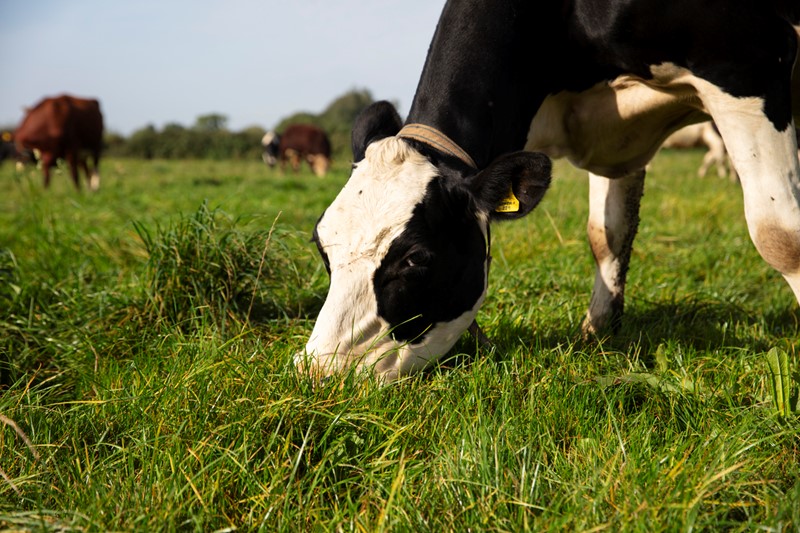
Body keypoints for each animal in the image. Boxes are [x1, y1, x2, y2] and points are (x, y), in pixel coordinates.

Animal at [296, 0, 800, 382]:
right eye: (321, 247)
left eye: (416, 258)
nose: (319, 371)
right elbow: (607, 235)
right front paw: (597, 334)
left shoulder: (748, 65)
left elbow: (780, 237)